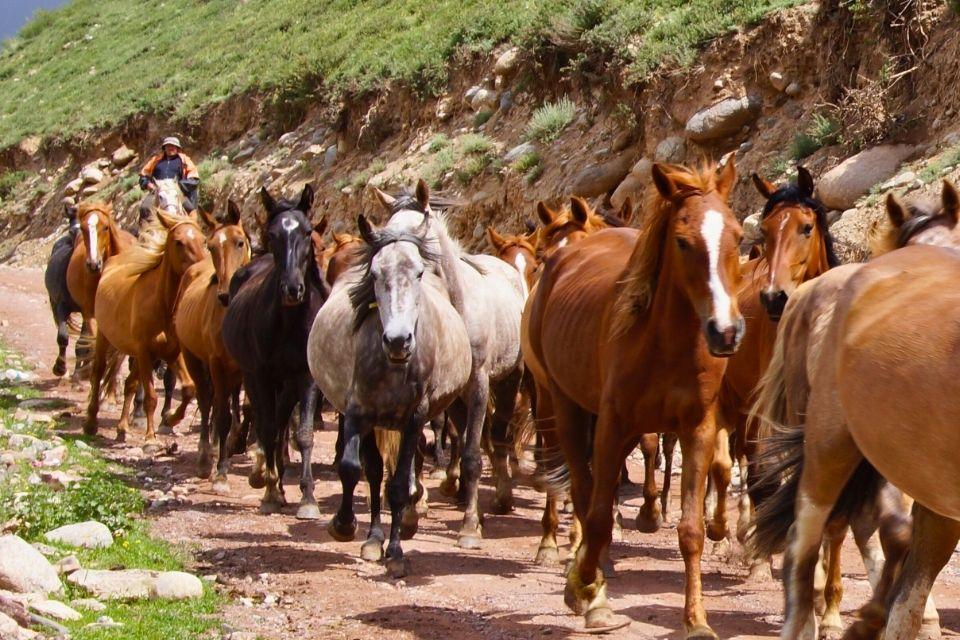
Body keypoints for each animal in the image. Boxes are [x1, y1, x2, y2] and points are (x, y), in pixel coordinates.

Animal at [83, 211, 205, 450]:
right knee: (98, 372)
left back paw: (122, 428)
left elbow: (188, 389)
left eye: (203, 239)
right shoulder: (145, 352)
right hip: (107, 339)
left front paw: (170, 419)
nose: (203, 268)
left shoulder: (172, 354)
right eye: (179, 242)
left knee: (129, 384)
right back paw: (91, 422)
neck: (163, 306)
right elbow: (151, 397)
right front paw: (150, 438)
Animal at [174, 201, 252, 491]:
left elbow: (245, 408)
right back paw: (205, 456)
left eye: (240, 242)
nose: (224, 294)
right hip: (193, 359)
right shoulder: (216, 363)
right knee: (207, 401)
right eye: (211, 247)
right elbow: (220, 413)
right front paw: (220, 473)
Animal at [221, 184, 327, 518]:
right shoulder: (259, 376)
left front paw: (308, 498)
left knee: (281, 423)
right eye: (273, 233)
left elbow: (302, 433)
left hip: (288, 383)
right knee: (269, 423)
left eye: (306, 232)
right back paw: (269, 480)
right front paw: (269, 490)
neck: (289, 321)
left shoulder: (306, 377)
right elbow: (266, 428)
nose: (293, 289)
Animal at [522, 160, 743, 635]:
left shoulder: (698, 429)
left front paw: (696, 620)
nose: (725, 331)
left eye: (738, 236)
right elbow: (598, 517)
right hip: (563, 407)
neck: (664, 344)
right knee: (583, 492)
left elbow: (691, 530)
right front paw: (586, 590)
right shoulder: (611, 424)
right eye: (682, 241)